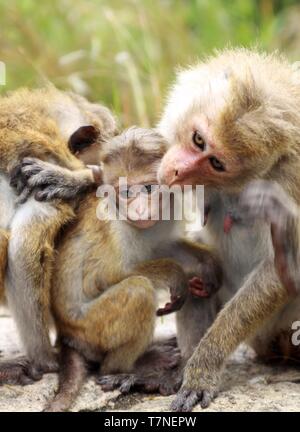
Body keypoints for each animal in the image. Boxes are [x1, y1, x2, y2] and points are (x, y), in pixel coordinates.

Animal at [157, 49, 300, 410]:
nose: (178, 172)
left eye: (216, 163)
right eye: (198, 140)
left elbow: (281, 271)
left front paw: (204, 365)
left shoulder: (289, 184)